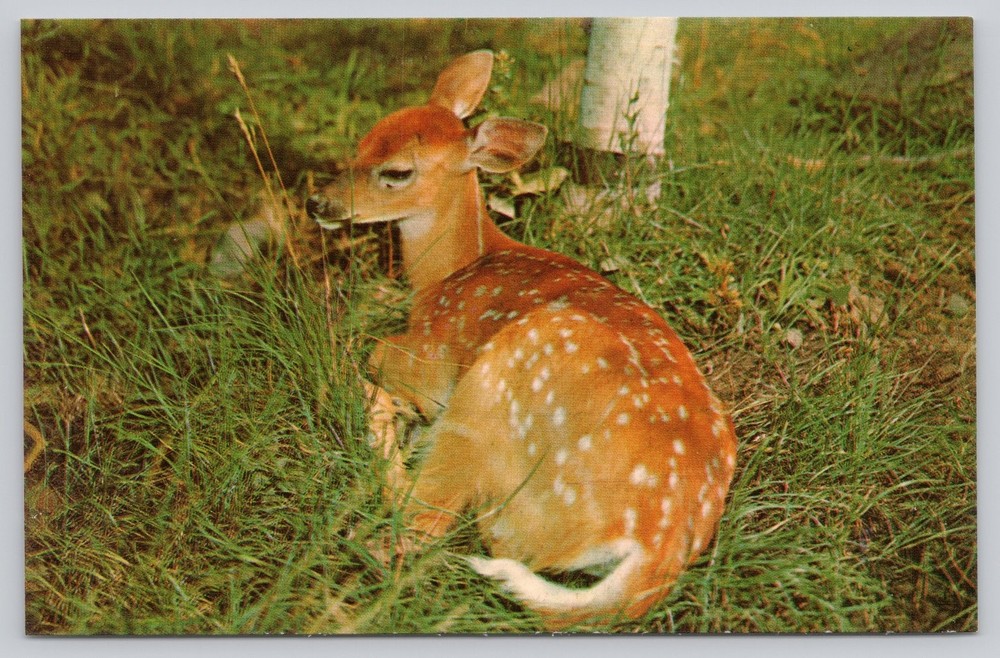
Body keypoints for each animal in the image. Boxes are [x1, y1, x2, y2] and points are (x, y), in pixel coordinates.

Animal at [312, 50, 738, 628]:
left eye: (397, 171)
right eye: (363, 141)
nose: (318, 203)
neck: (448, 272)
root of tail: (657, 546)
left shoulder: (434, 353)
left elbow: (379, 350)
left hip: (495, 393)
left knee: (427, 518)